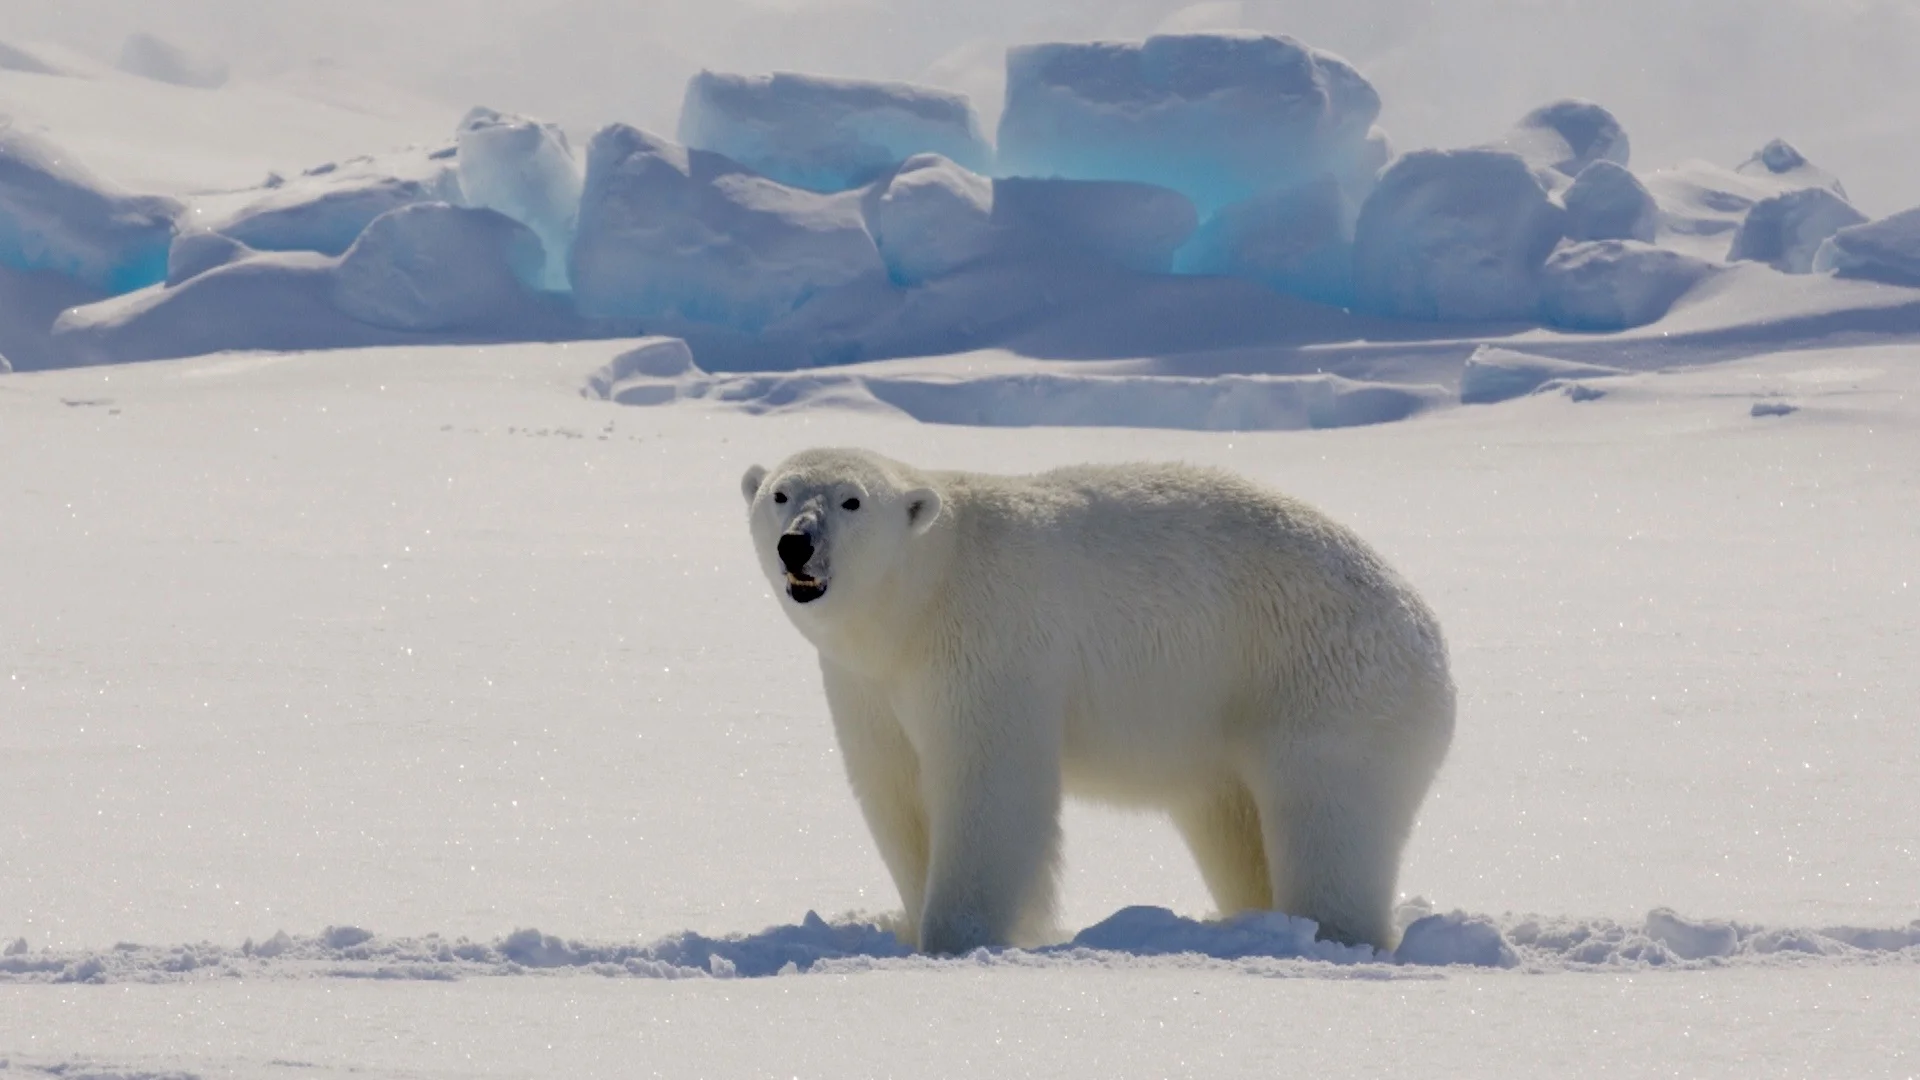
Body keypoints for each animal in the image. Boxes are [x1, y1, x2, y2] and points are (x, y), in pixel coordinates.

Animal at [740, 447, 1455, 955]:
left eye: (852, 500)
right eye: (780, 492)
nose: (796, 542)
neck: (921, 596)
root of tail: (1429, 639)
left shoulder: (987, 643)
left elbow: (989, 785)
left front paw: (957, 938)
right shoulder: (869, 683)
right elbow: (896, 790)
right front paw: (913, 924)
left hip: (1323, 687)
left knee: (1327, 820)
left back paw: (1331, 935)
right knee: (1233, 826)